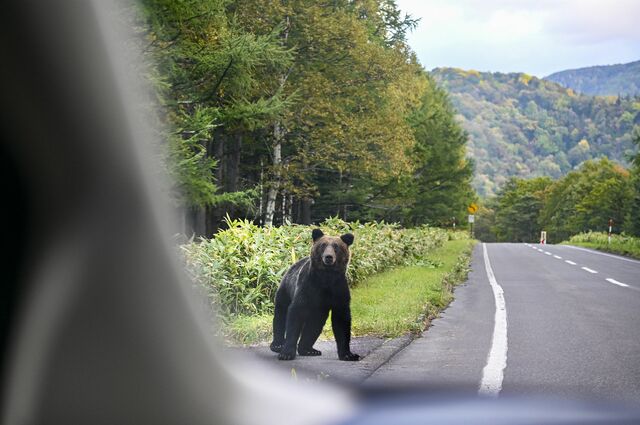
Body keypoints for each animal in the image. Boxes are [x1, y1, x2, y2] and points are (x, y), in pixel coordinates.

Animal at [268, 229, 360, 362]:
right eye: (323, 245)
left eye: (336, 246)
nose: (328, 257)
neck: (326, 277)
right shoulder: (307, 287)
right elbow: (295, 314)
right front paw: (286, 353)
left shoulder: (338, 290)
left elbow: (342, 320)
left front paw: (349, 355)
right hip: (285, 290)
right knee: (281, 315)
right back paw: (277, 344)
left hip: (319, 310)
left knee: (314, 324)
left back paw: (309, 349)